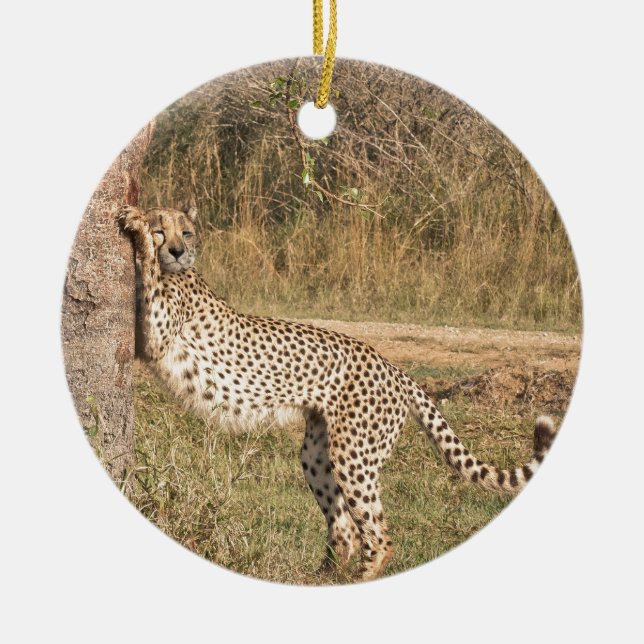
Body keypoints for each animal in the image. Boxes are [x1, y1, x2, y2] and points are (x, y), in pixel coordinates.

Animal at [119, 204, 557, 582]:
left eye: (186, 232)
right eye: (164, 230)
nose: (177, 251)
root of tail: (393, 367)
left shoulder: (158, 339)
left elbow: (149, 279)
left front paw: (135, 225)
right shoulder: (147, 344)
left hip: (354, 455)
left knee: (378, 535)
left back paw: (359, 576)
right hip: (318, 454)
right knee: (344, 526)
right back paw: (323, 576)